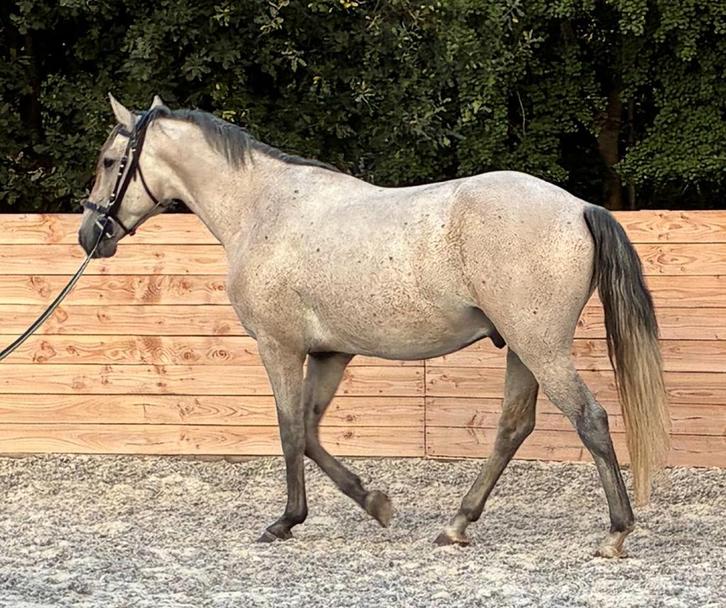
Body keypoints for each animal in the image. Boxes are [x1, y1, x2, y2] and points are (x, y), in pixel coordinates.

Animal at [78, 94, 670, 558]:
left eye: (109, 161)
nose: (89, 234)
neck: (263, 208)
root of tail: (578, 207)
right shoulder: (330, 353)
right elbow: (310, 432)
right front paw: (376, 503)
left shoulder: (279, 347)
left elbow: (290, 431)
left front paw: (287, 521)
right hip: (523, 349)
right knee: (512, 427)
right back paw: (457, 525)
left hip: (539, 346)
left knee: (589, 419)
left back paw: (615, 533)